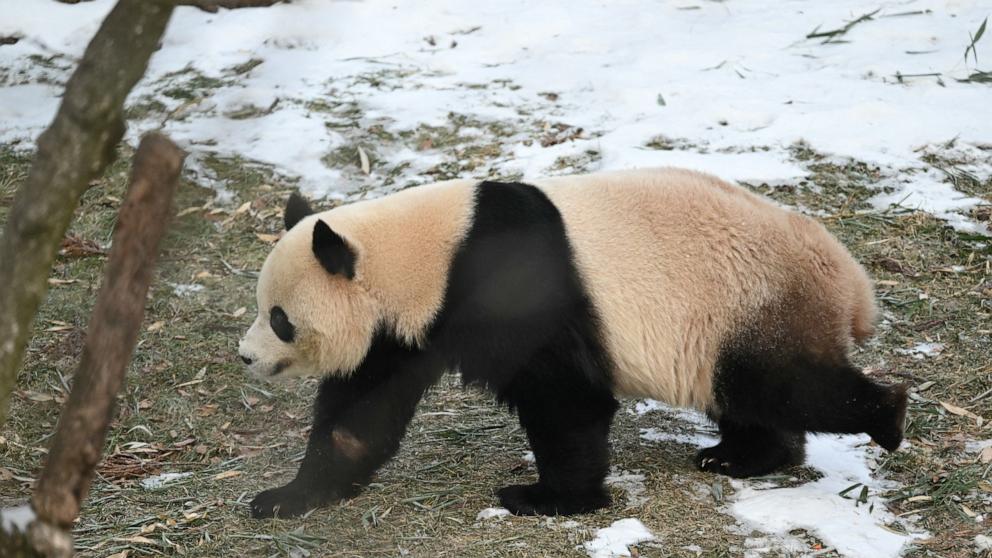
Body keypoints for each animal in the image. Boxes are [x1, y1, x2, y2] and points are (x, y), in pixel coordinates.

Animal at [240, 167, 908, 520]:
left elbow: (565, 399)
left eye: (279, 318)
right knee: (754, 398)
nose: (246, 357)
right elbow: (359, 415)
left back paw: (887, 417)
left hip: (749, 301)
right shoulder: (404, 332)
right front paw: (286, 497)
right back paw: (739, 456)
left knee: (785, 385)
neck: (427, 256)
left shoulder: (511, 290)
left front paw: (546, 497)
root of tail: (850, 283)